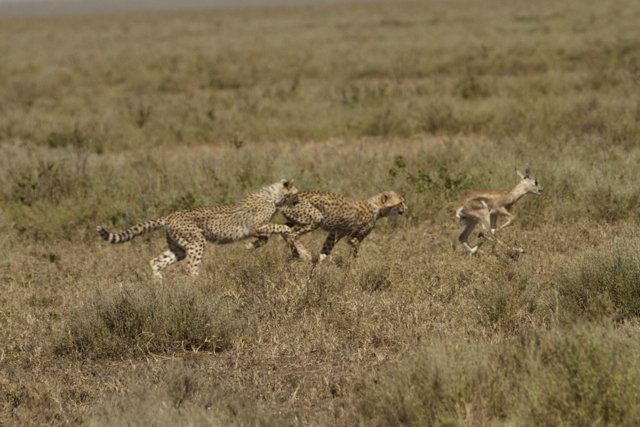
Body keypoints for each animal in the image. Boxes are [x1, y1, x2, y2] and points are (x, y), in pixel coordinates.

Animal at [97, 180, 300, 282]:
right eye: (296, 193)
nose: (298, 202)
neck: (273, 197)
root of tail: (171, 214)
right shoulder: (257, 226)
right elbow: (277, 228)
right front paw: (289, 230)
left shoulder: (258, 229)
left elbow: (265, 238)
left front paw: (252, 245)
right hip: (196, 242)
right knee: (190, 269)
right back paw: (198, 287)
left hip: (178, 248)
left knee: (155, 261)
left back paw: (159, 285)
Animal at [252, 191, 408, 264]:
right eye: (400, 202)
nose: (406, 209)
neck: (376, 207)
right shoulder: (353, 238)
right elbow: (356, 253)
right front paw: (357, 267)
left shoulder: (335, 233)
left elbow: (326, 250)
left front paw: (319, 265)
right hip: (315, 218)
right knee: (292, 233)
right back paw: (304, 254)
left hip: (294, 219)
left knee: (285, 230)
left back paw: (297, 254)